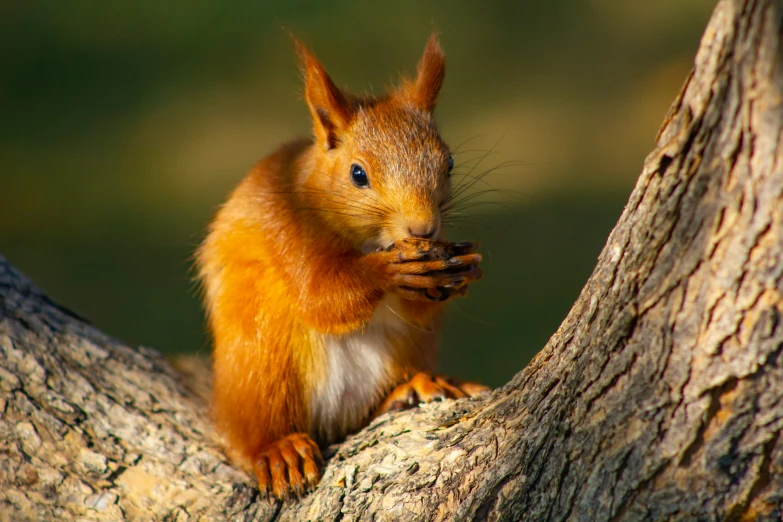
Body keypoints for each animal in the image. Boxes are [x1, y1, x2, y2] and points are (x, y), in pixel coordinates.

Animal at [196, 34, 486, 498]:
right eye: (357, 174)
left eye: (450, 163)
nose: (423, 228)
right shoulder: (286, 225)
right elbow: (321, 297)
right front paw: (387, 271)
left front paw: (465, 268)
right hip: (260, 357)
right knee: (248, 434)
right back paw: (278, 449)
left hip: (407, 347)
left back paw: (417, 386)